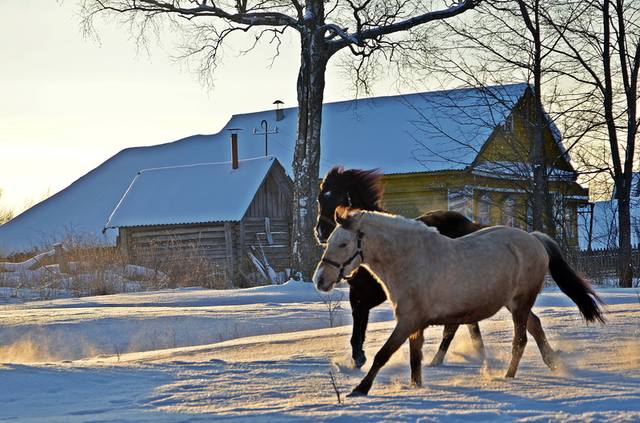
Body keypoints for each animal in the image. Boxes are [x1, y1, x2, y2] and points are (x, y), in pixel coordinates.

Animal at [316, 210, 604, 398]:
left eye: (343, 243)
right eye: (328, 242)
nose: (320, 280)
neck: (410, 260)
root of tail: (534, 238)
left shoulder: (408, 320)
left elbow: (383, 354)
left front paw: (360, 389)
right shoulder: (415, 324)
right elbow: (414, 358)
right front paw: (416, 386)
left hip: (521, 303)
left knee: (521, 339)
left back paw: (508, 376)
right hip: (514, 304)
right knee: (535, 326)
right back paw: (552, 362)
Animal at [318, 168, 488, 368]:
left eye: (336, 196)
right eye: (320, 198)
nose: (320, 232)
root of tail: (471, 225)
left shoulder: (375, 294)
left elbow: (361, 315)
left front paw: (359, 357)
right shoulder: (357, 293)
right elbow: (358, 320)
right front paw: (357, 356)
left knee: (454, 327)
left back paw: (440, 359)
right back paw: (478, 352)